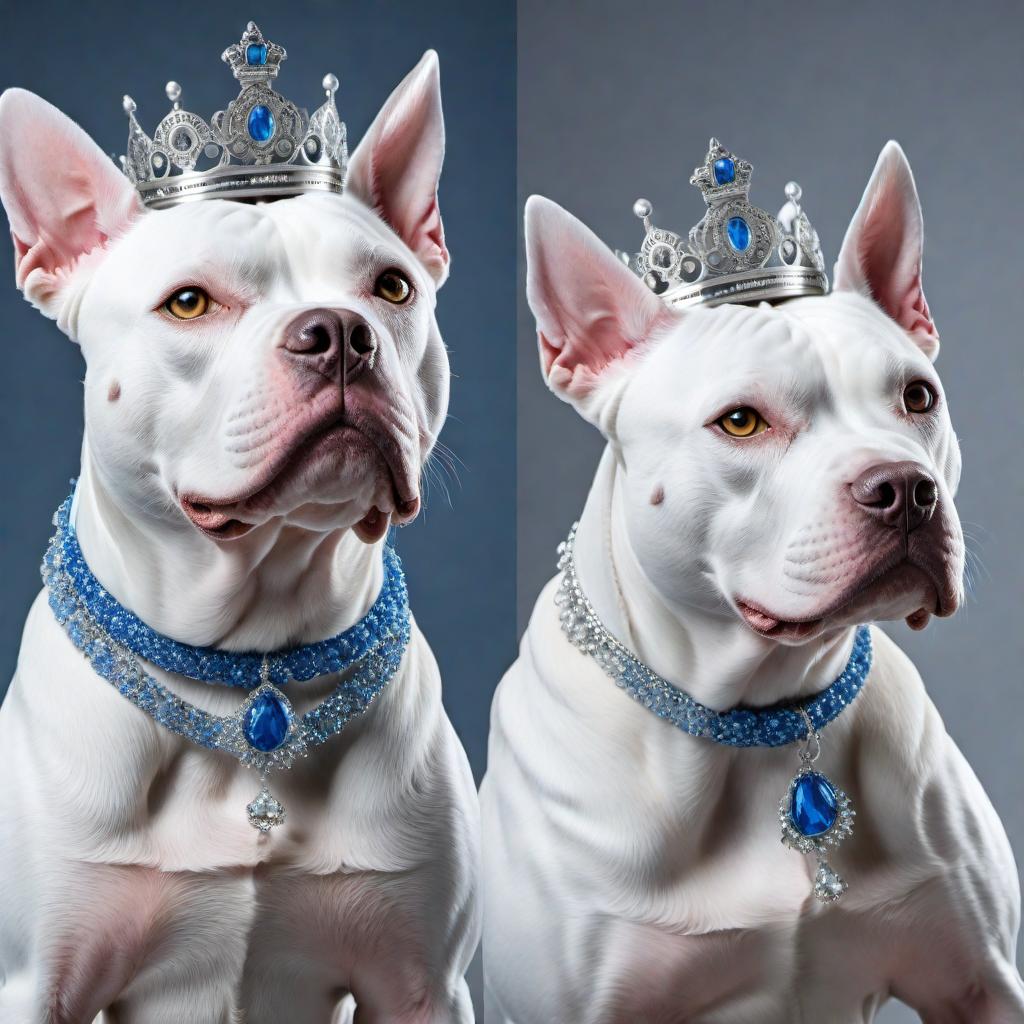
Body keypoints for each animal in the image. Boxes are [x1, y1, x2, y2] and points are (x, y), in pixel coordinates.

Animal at [0, 54, 479, 1024]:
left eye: (392, 288)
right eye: (189, 303)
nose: (340, 333)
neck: (247, 666)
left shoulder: (424, 985)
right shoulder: (36, 984)